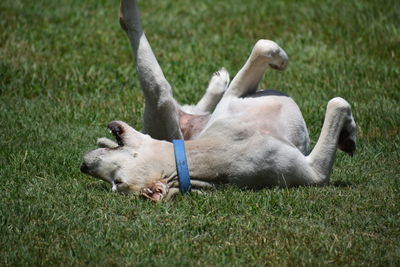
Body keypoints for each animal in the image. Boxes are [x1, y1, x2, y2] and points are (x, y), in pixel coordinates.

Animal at [80, 0, 356, 201]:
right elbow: (338, 103)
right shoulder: (311, 173)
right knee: (134, 33)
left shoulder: (236, 96)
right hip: (159, 99)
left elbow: (262, 45)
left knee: (198, 103)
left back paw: (218, 82)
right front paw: (348, 132)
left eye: (117, 182)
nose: (84, 166)